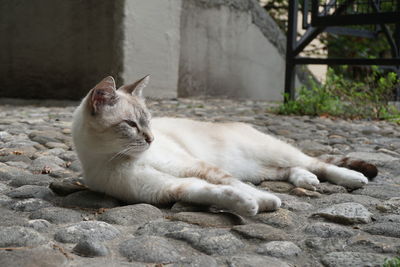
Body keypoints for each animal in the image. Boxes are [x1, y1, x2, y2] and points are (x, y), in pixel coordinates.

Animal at [72, 76, 378, 218]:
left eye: (148, 122)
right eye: (131, 125)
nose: (151, 139)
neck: (125, 158)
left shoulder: (197, 167)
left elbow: (230, 183)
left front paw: (265, 201)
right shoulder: (169, 188)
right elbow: (212, 191)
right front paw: (249, 205)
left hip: (268, 153)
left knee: (316, 163)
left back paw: (353, 178)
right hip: (258, 169)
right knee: (291, 169)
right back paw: (307, 180)